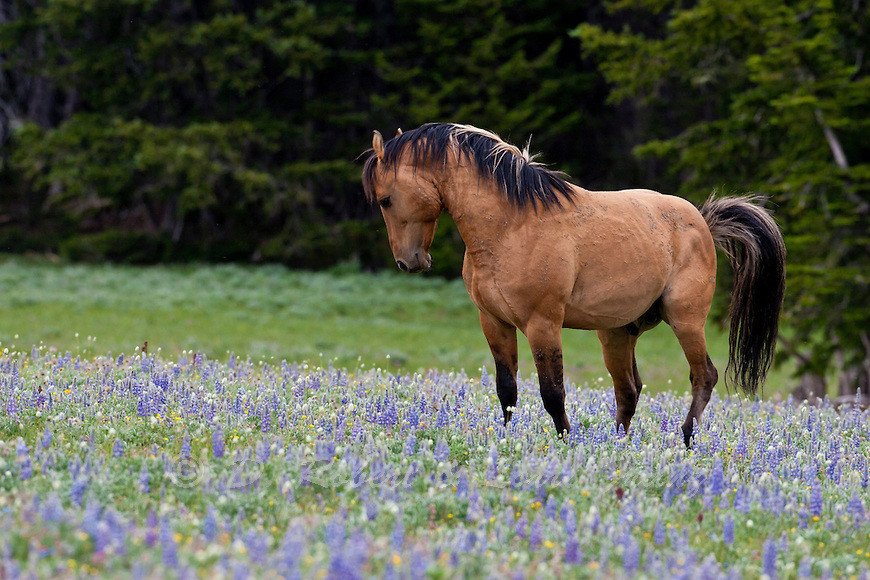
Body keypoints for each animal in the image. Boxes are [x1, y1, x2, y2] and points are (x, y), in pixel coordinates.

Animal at [362, 122, 786, 447]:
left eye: (385, 200)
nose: (409, 261)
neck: (511, 226)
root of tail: (701, 220)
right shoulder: (494, 323)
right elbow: (506, 391)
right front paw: (506, 443)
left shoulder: (543, 324)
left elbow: (552, 394)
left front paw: (567, 445)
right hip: (616, 333)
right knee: (628, 390)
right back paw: (617, 445)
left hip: (686, 321)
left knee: (704, 377)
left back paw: (686, 440)